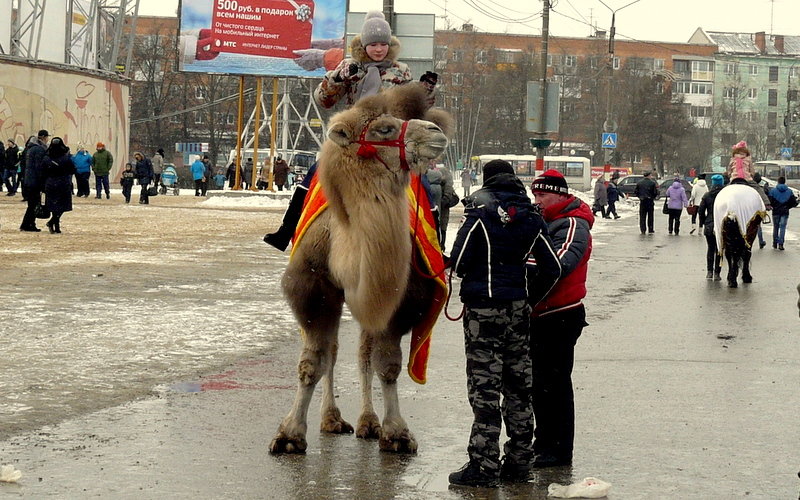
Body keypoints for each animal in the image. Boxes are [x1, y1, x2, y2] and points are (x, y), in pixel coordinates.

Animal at [272, 84, 454, 456]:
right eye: (384, 129)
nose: (437, 132)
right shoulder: (312, 289)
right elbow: (313, 360)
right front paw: (290, 434)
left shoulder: (400, 295)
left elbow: (386, 363)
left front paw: (397, 432)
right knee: (334, 352)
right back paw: (332, 419)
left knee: (363, 354)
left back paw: (368, 422)